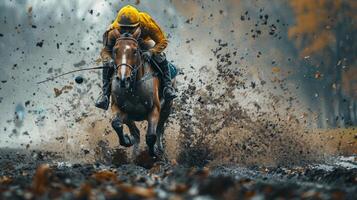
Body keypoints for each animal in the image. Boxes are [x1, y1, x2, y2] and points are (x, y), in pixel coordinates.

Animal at [110, 28, 174, 157]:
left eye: (135, 51)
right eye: (115, 50)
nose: (123, 79)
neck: (133, 88)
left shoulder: (155, 109)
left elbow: (151, 136)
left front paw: (154, 154)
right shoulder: (120, 109)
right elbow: (116, 124)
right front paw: (127, 140)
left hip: (167, 107)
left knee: (159, 129)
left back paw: (160, 149)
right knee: (136, 133)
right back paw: (134, 154)